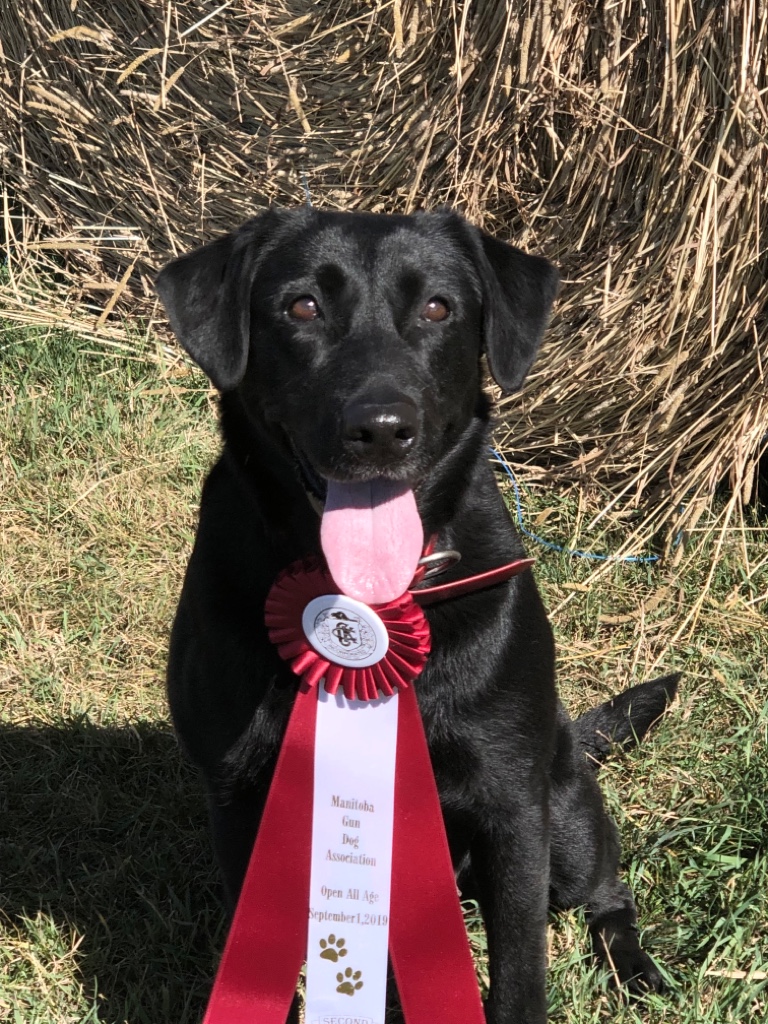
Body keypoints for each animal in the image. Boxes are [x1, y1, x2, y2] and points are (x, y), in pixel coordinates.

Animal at [156, 207, 679, 1024]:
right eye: (301, 306)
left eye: (437, 308)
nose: (379, 427)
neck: (369, 592)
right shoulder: (240, 797)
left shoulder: (511, 808)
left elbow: (520, 973)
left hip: (564, 817)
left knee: (606, 893)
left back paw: (634, 968)